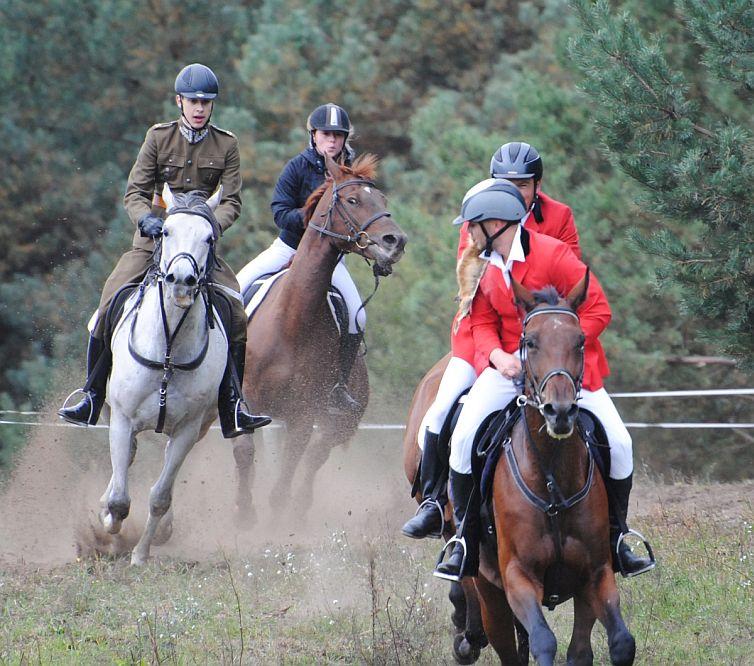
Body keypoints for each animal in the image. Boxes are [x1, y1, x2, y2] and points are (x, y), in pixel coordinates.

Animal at [101, 184, 228, 564]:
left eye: (208, 237)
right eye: (166, 231)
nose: (182, 281)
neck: (169, 345)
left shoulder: (187, 430)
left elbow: (159, 497)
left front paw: (141, 555)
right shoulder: (122, 418)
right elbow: (120, 498)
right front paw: (109, 522)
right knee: (125, 459)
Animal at [239, 153, 408, 516]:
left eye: (382, 200)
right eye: (353, 200)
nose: (396, 242)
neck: (291, 323)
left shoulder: (303, 416)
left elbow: (288, 475)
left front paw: (278, 515)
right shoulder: (248, 403)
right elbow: (245, 455)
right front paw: (243, 514)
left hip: (340, 421)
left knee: (315, 459)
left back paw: (301, 508)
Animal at [476, 274, 636, 660]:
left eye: (580, 342)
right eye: (530, 342)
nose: (559, 411)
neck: (551, 477)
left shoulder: (595, 574)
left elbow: (617, 642)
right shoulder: (518, 577)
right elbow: (543, 640)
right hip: (488, 590)